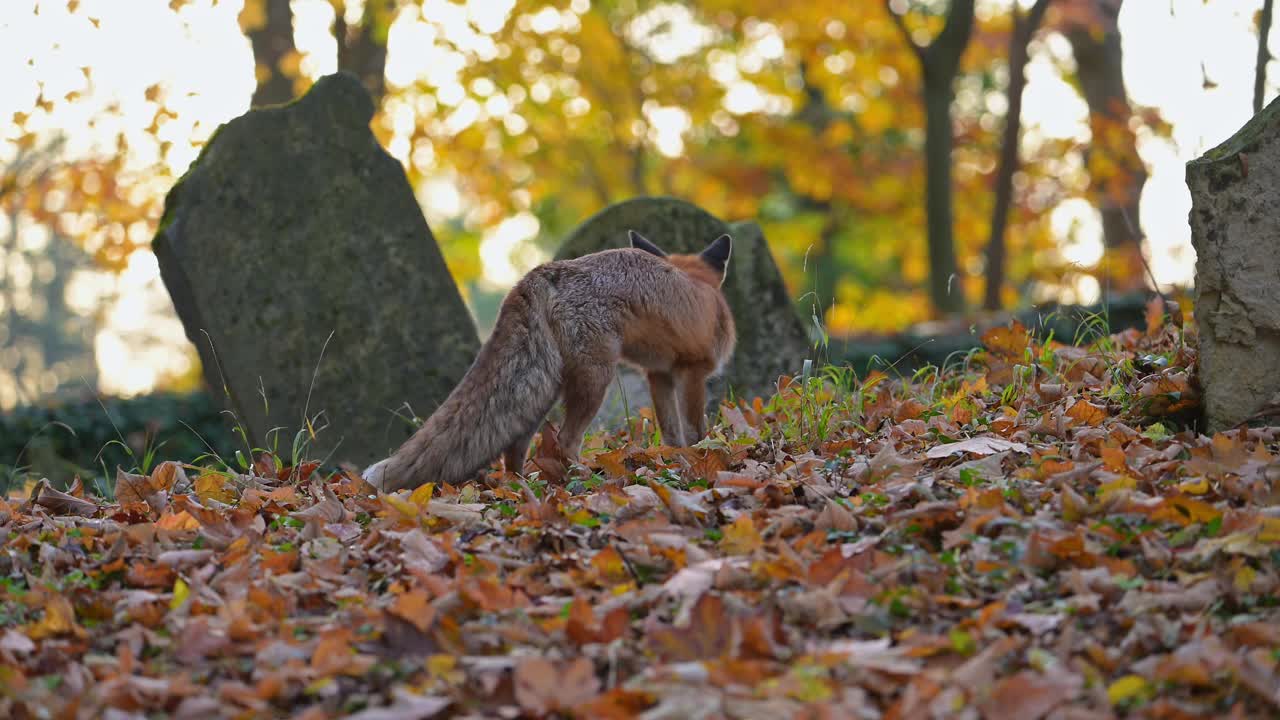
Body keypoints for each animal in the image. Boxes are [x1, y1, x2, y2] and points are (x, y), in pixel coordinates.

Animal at [366, 229, 737, 491]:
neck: (704, 291)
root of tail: (541, 271)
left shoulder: (659, 374)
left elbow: (672, 431)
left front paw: (677, 460)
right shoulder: (692, 372)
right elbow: (695, 428)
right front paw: (703, 457)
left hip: (540, 388)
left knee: (514, 447)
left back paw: (520, 486)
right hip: (593, 381)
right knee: (565, 440)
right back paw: (585, 477)